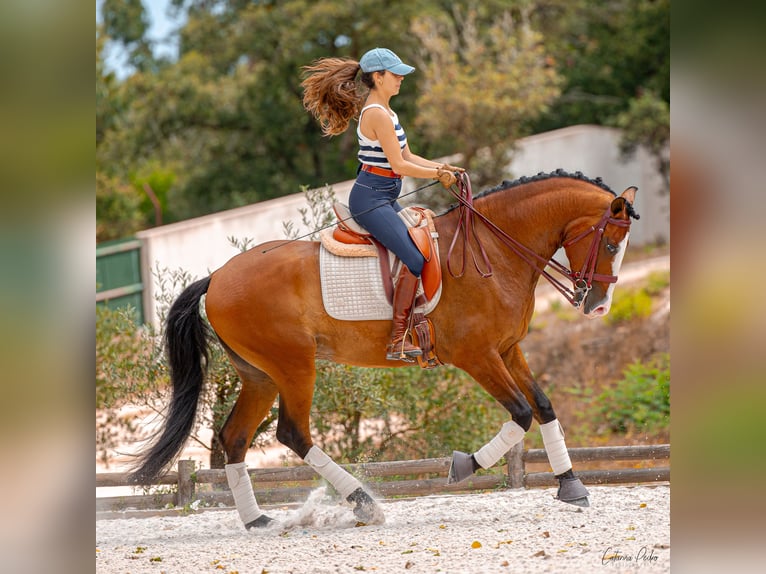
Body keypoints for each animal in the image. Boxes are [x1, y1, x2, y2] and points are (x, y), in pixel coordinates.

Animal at [130, 170, 640, 532]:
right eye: (611, 242)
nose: (598, 305)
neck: (494, 249)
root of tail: (216, 277)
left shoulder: (509, 349)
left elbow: (545, 406)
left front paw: (571, 486)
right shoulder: (477, 356)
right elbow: (520, 414)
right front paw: (463, 466)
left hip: (260, 375)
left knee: (235, 437)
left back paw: (257, 520)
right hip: (294, 367)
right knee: (293, 433)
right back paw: (363, 504)